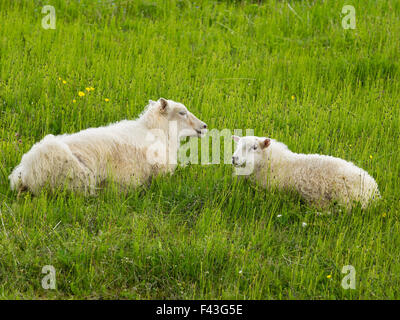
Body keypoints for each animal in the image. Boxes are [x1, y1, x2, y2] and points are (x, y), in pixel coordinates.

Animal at [10, 98, 206, 195]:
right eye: (182, 112)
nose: (204, 126)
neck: (157, 132)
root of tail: (24, 174)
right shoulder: (161, 173)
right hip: (76, 178)